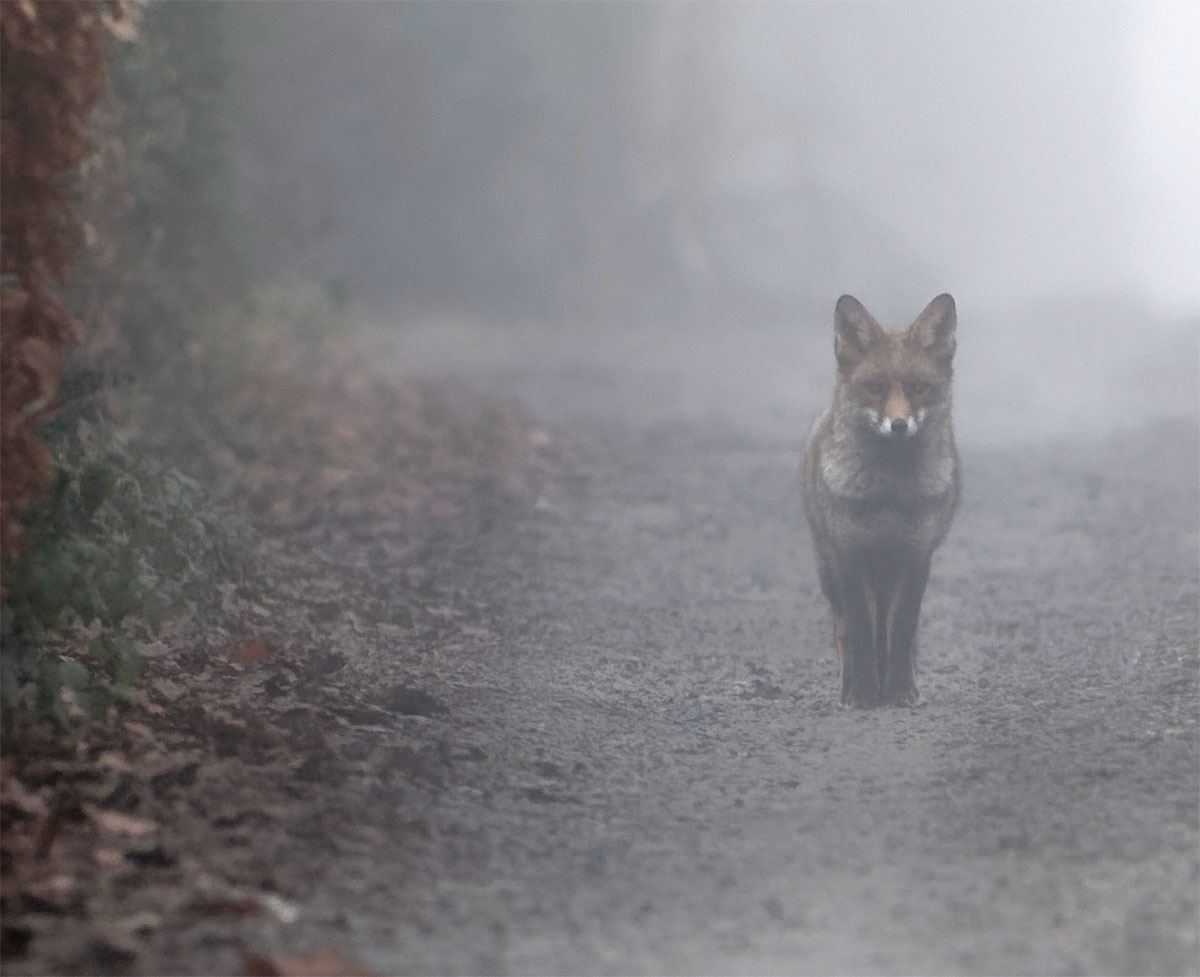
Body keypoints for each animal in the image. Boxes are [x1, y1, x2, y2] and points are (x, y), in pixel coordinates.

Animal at [801, 293, 959, 707]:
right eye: (875, 388)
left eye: (918, 387)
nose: (899, 425)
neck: (889, 495)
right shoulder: (850, 555)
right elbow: (860, 631)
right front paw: (862, 694)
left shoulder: (916, 555)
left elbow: (902, 631)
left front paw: (901, 691)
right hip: (829, 570)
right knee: (845, 631)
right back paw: (851, 686)